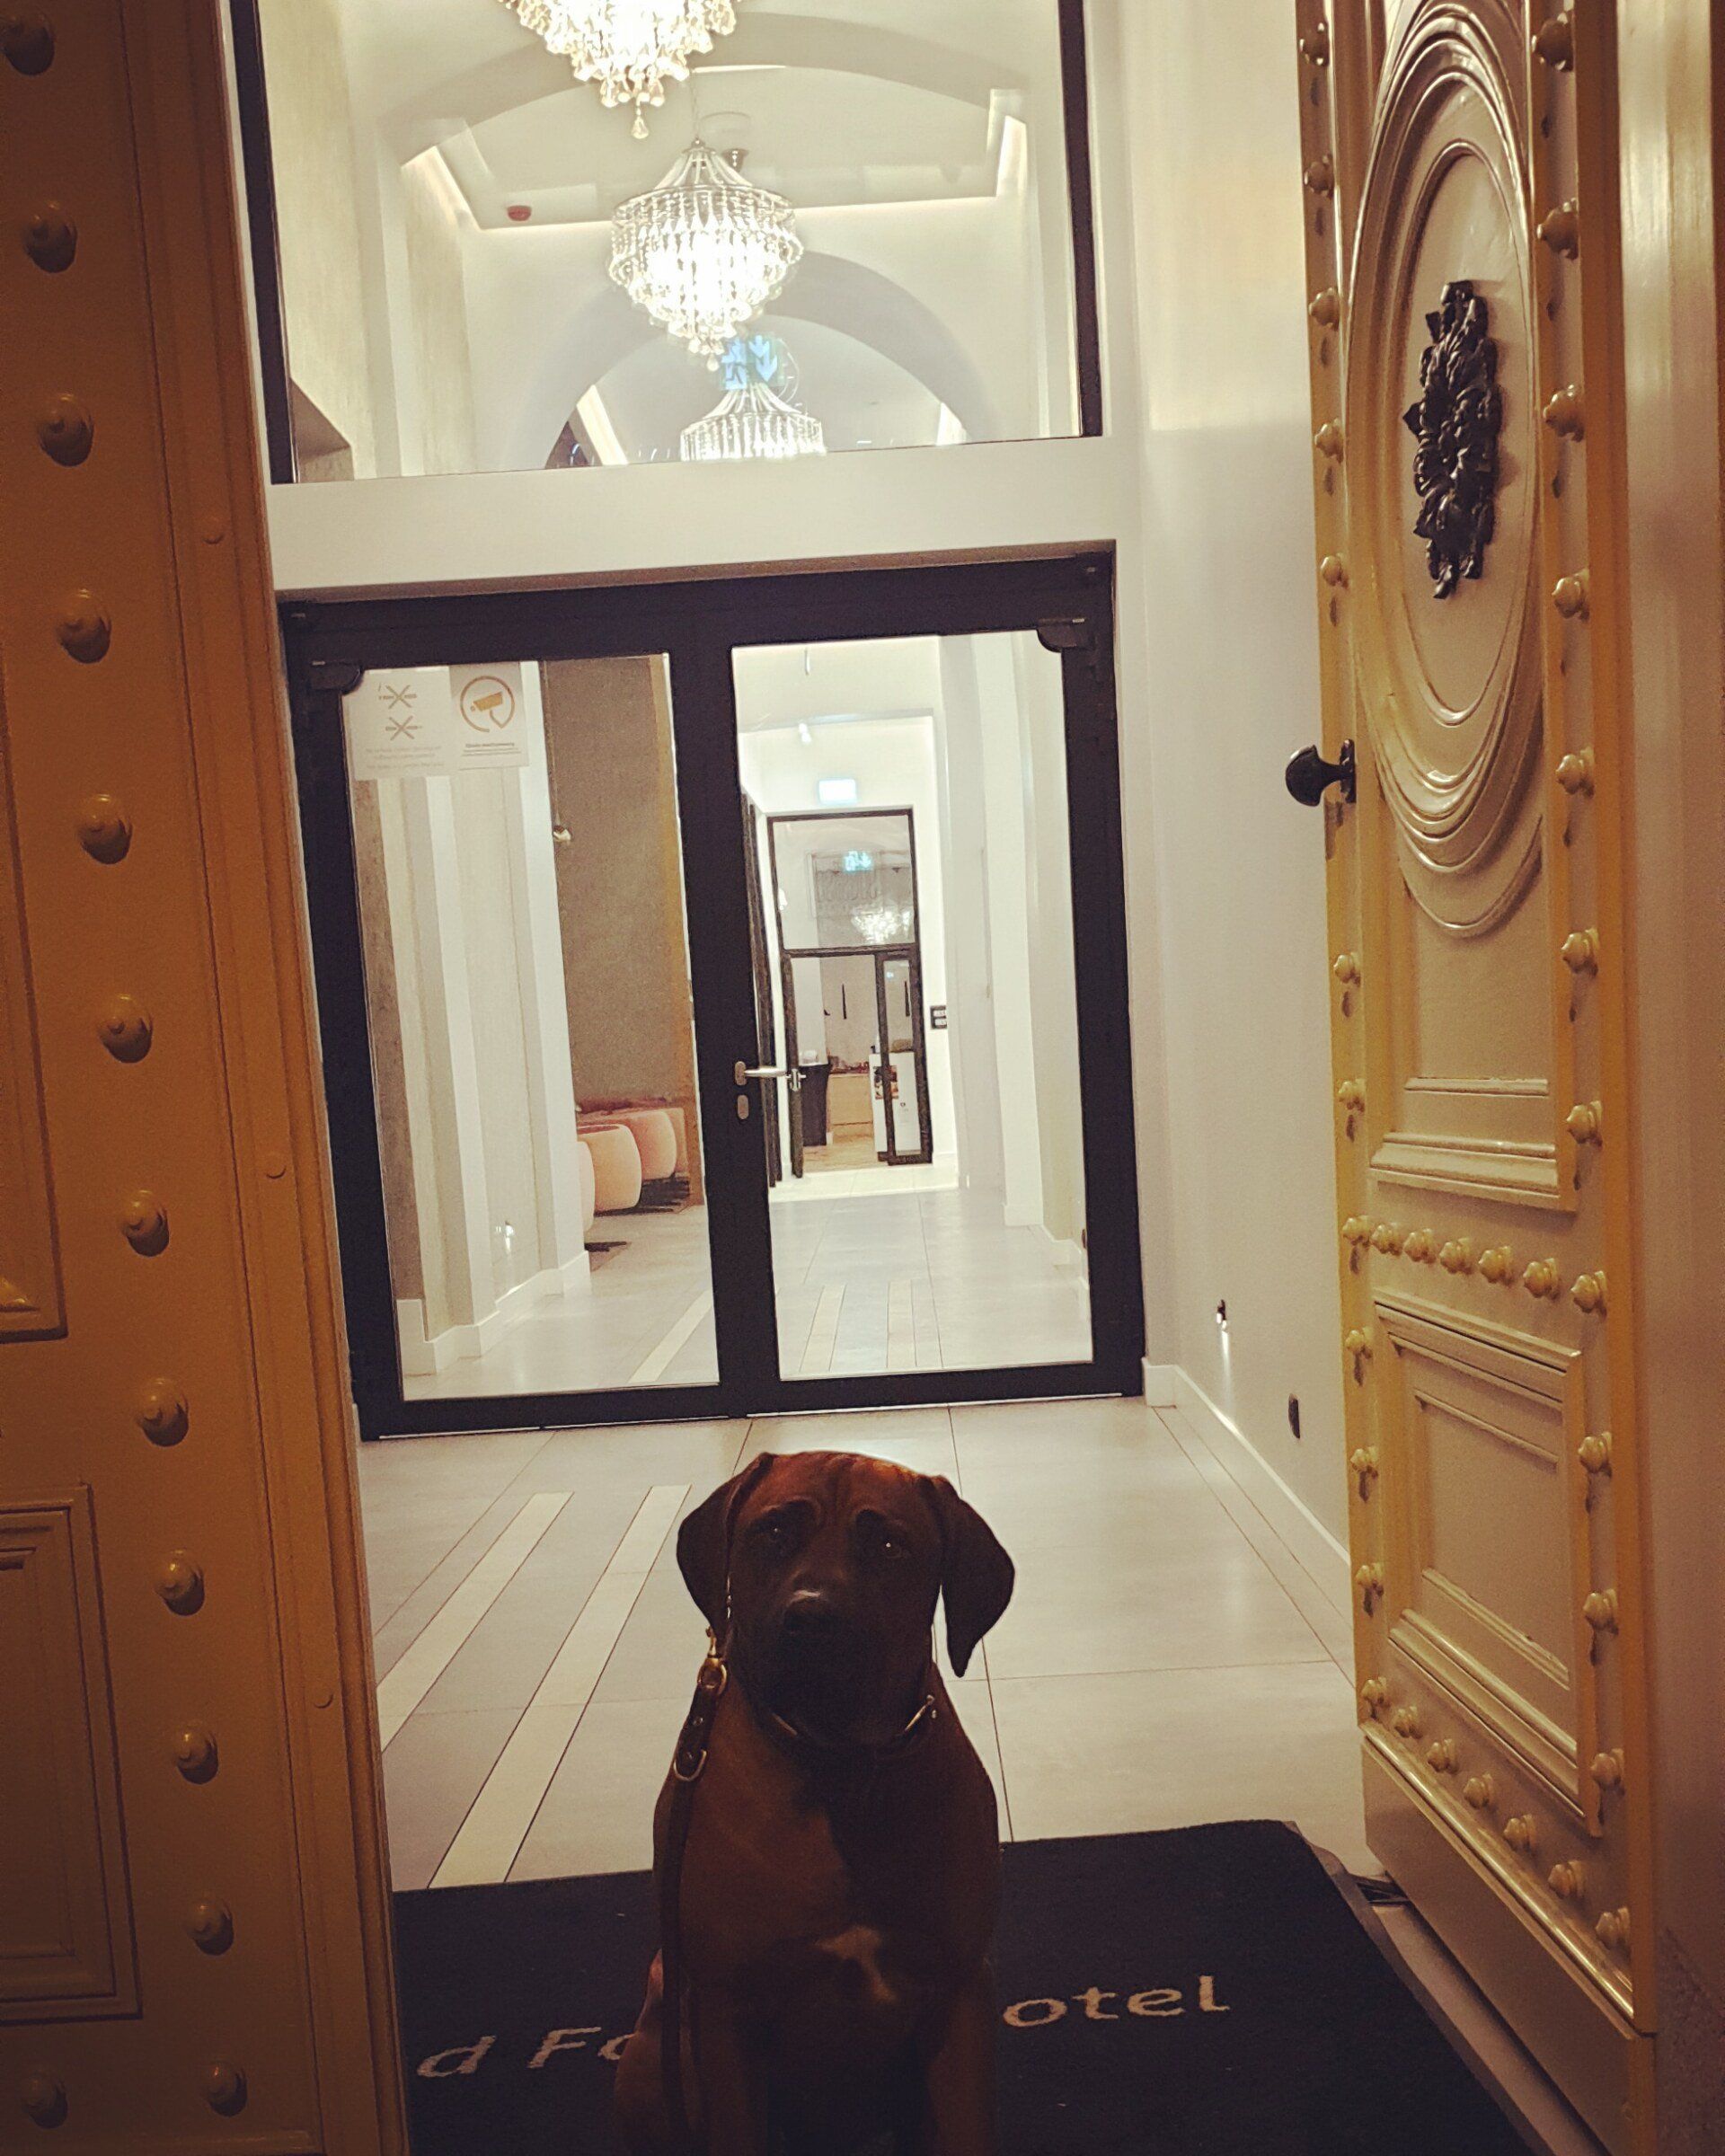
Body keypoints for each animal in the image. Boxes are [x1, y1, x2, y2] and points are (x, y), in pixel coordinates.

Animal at [615, 1449, 1016, 2155]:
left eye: (888, 1545)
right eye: (773, 1531)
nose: (811, 1619)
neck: (841, 1767)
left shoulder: (960, 1988)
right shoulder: (726, 2013)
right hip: (657, 2049)